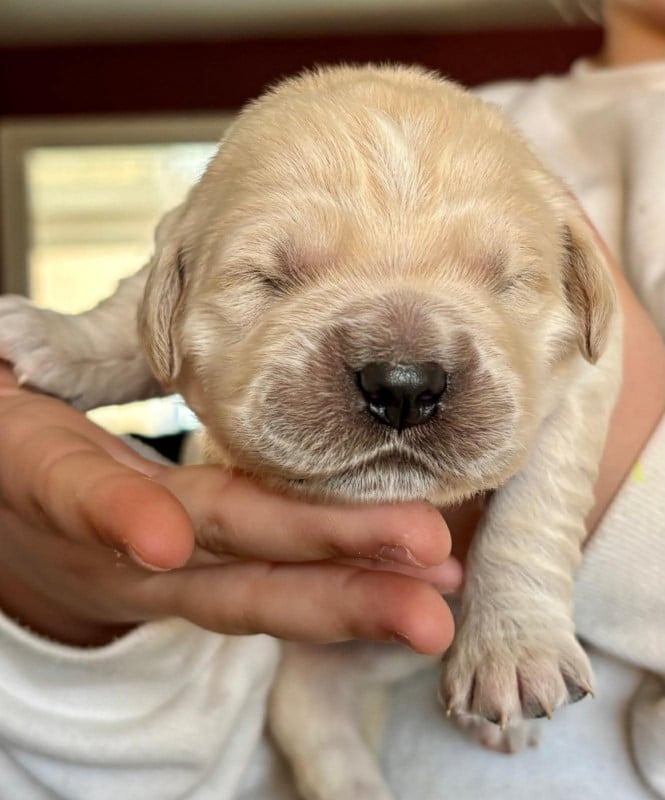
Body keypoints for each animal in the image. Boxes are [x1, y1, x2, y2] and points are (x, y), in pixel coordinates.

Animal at [0, 65, 621, 799]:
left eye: (509, 282)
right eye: (268, 278)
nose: (402, 383)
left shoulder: (591, 370)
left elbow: (537, 494)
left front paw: (514, 646)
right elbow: (125, 319)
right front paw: (52, 336)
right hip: (310, 688)